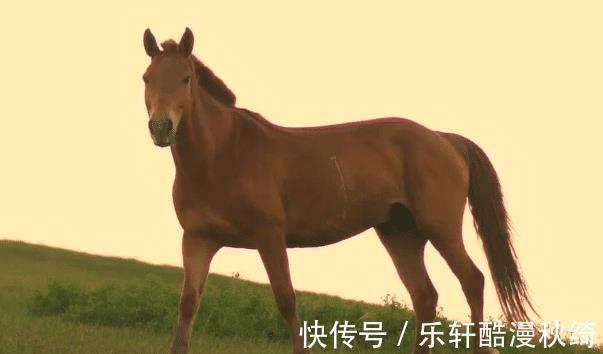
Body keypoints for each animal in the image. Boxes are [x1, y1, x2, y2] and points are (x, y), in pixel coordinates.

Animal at [143, 28, 536, 354]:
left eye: (185, 78)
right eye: (146, 78)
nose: (161, 128)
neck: (223, 154)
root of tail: (444, 139)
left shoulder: (269, 236)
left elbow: (286, 299)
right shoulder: (198, 239)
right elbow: (188, 302)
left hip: (440, 228)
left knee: (472, 280)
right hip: (400, 234)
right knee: (425, 295)